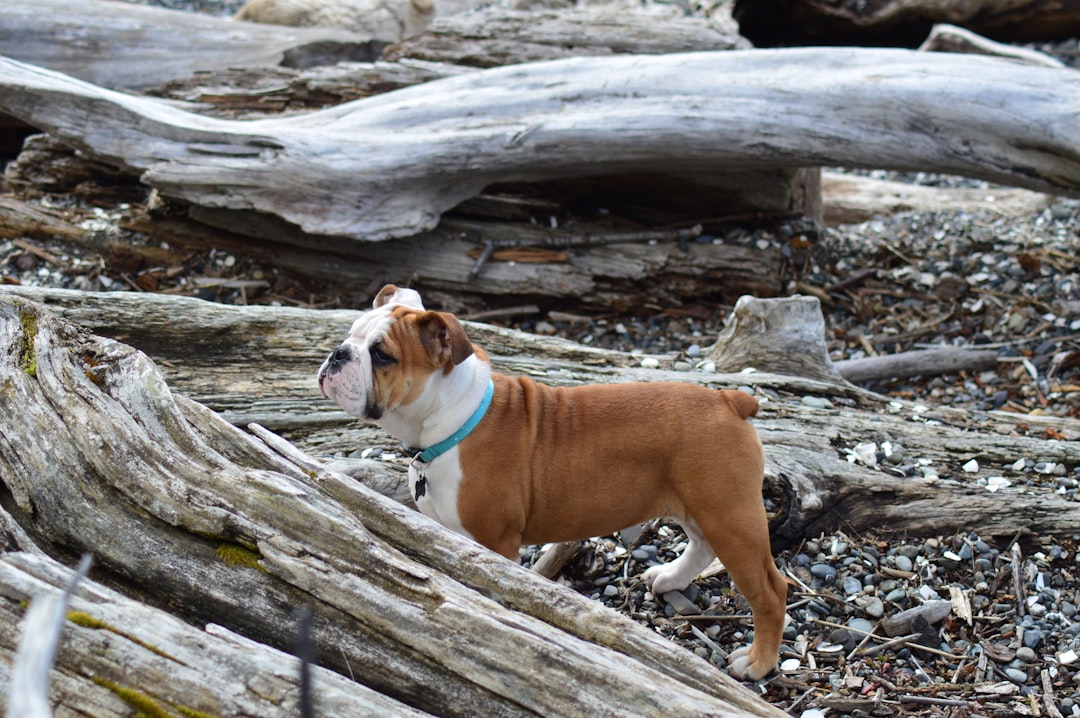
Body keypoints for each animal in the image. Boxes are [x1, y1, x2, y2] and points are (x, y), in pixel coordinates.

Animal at [315, 285, 790, 678]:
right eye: (351, 334)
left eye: (382, 355)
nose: (338, 353)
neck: (453, 417)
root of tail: (730, 401)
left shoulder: (495, 541)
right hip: (702, 503)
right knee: (702, 543)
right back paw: (671, 577)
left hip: (730, 515)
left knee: (770, 589)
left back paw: (758, 662)